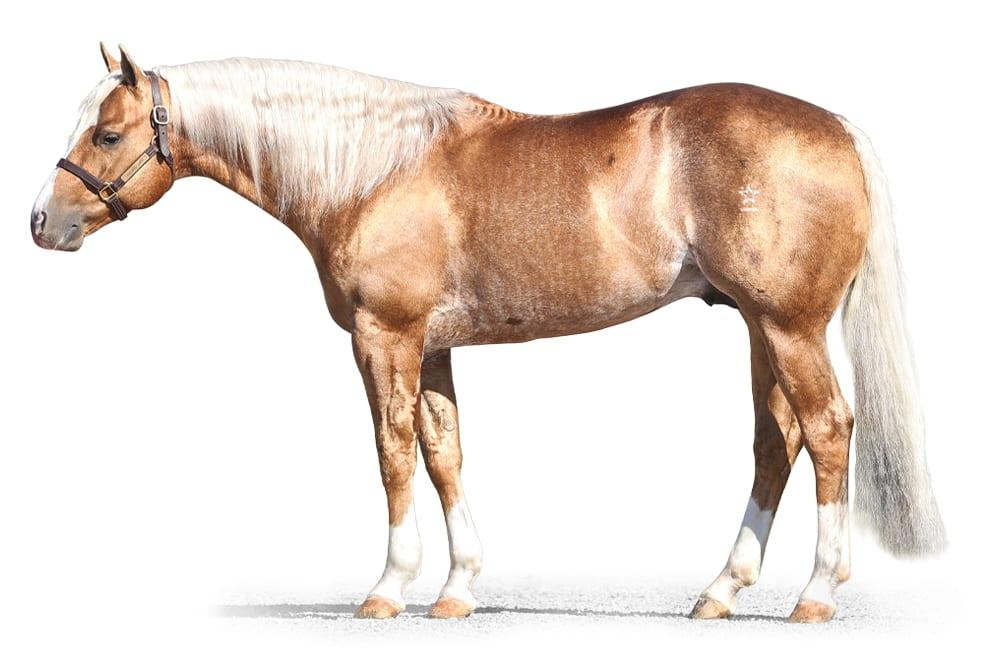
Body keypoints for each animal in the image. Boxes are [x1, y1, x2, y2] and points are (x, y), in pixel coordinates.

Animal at [31, 44, 945, 623]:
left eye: (106, 133)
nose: (43, 221)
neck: (370, 170)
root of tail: (837, 126)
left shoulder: (385, 336)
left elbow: (392, 452)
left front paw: (389, 586)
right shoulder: (432, 346)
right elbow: (444, 453)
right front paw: (457, 589)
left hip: (789, 327)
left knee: (826, 431)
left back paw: (816, 593)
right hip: (761, 327)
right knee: (774, 442)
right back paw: (720, 590)